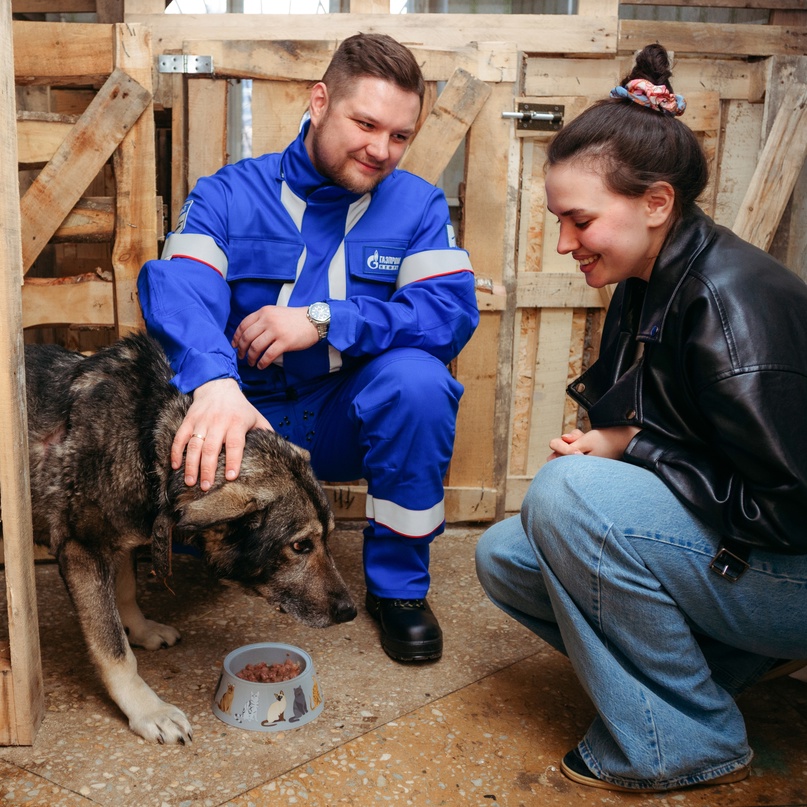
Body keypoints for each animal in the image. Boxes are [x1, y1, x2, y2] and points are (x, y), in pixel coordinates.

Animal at [23, 334, 356, 744]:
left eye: (327, 539)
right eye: (299, 546)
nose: (350, 612)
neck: (145, 438)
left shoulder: (123, 540)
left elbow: (126, 591)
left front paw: (140, 628)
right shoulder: (82, 551)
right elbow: (113, 648)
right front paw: (147, 710)